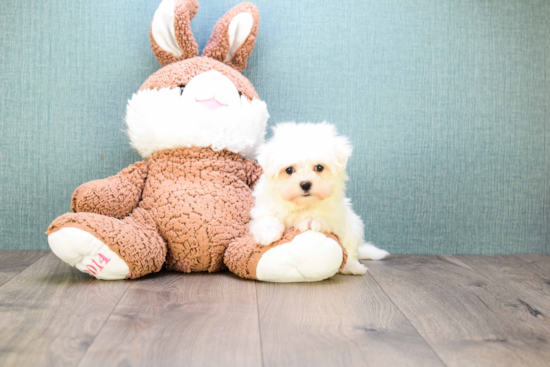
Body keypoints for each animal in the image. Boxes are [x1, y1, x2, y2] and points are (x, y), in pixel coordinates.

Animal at [252, 123, 390, 276]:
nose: (305, 184)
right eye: (289, 170)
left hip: (354, 228)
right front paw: (267, 233)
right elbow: (268, 214)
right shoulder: (266, 202)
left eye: (319, 167)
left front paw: (309, 220)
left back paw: (353, 267)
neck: (301, 204)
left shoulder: (334, 214)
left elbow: (319, 216)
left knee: (349, 251)